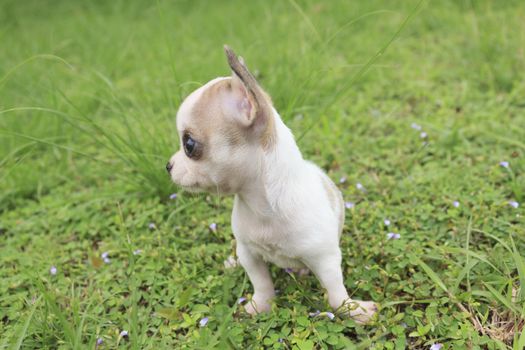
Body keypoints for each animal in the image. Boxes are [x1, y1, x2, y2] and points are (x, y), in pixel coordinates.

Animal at [167, 45, 376, 322]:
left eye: (189, 145)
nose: (168, 165)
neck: (261, 205)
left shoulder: (326, 260)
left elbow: (336, 296)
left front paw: (356, 311)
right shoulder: (248, 252)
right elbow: (262, 282)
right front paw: (260, 306)